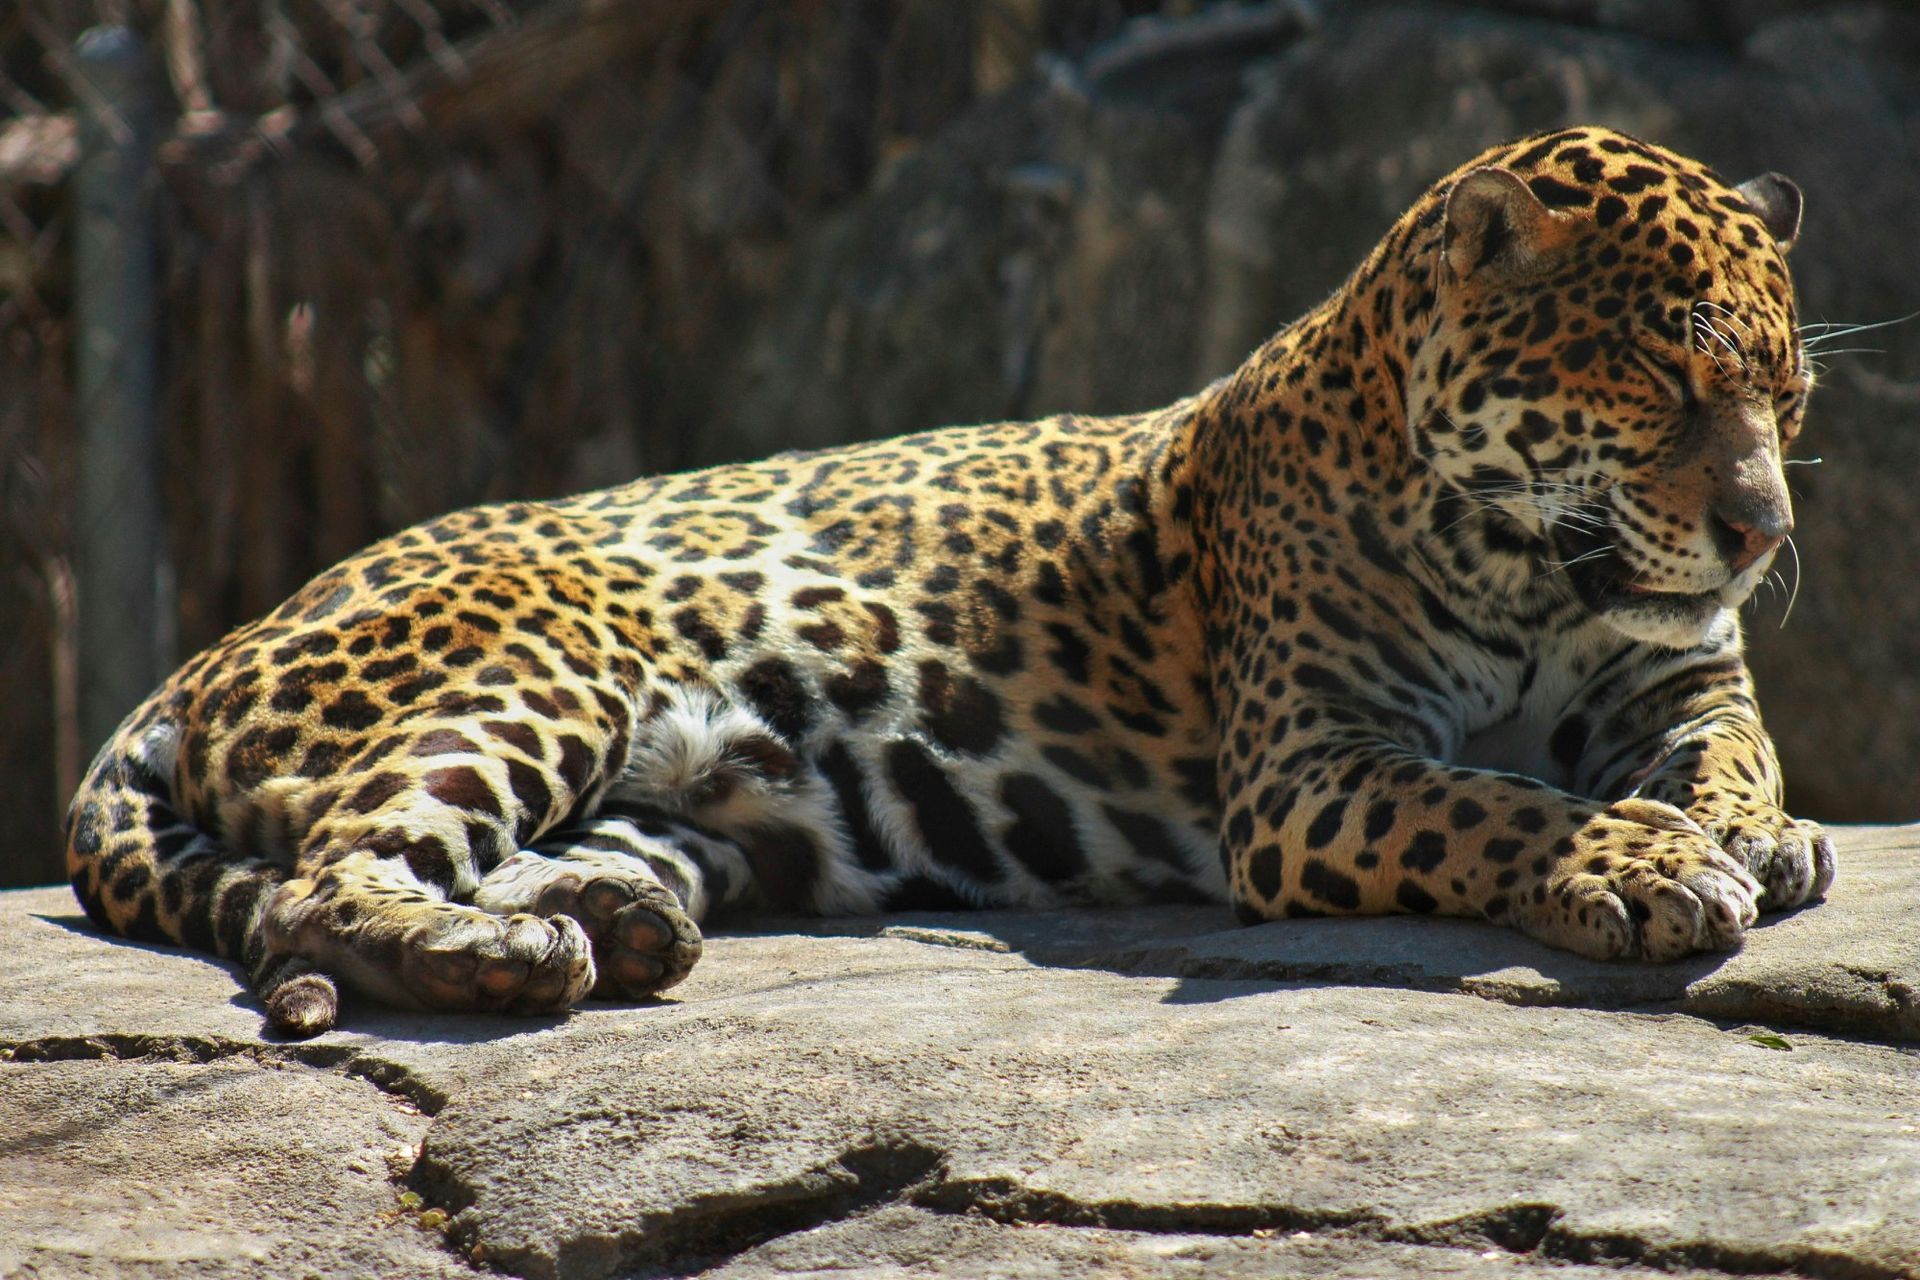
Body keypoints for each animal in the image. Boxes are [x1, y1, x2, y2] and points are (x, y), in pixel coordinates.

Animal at [66, 126, 1835, 1038]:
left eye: (1788, 394)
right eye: (1662, 382)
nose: (1760, 535)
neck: (1533, 569)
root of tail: (195, 661)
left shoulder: (1677, 684)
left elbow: (1731, 754)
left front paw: (1755, 836)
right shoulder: (1310, 771)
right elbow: (1497, 802)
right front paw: (1640, 864)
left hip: (711, 804)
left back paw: (611, 921)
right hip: (536, 663)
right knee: (319, 882)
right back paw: (505, 962)